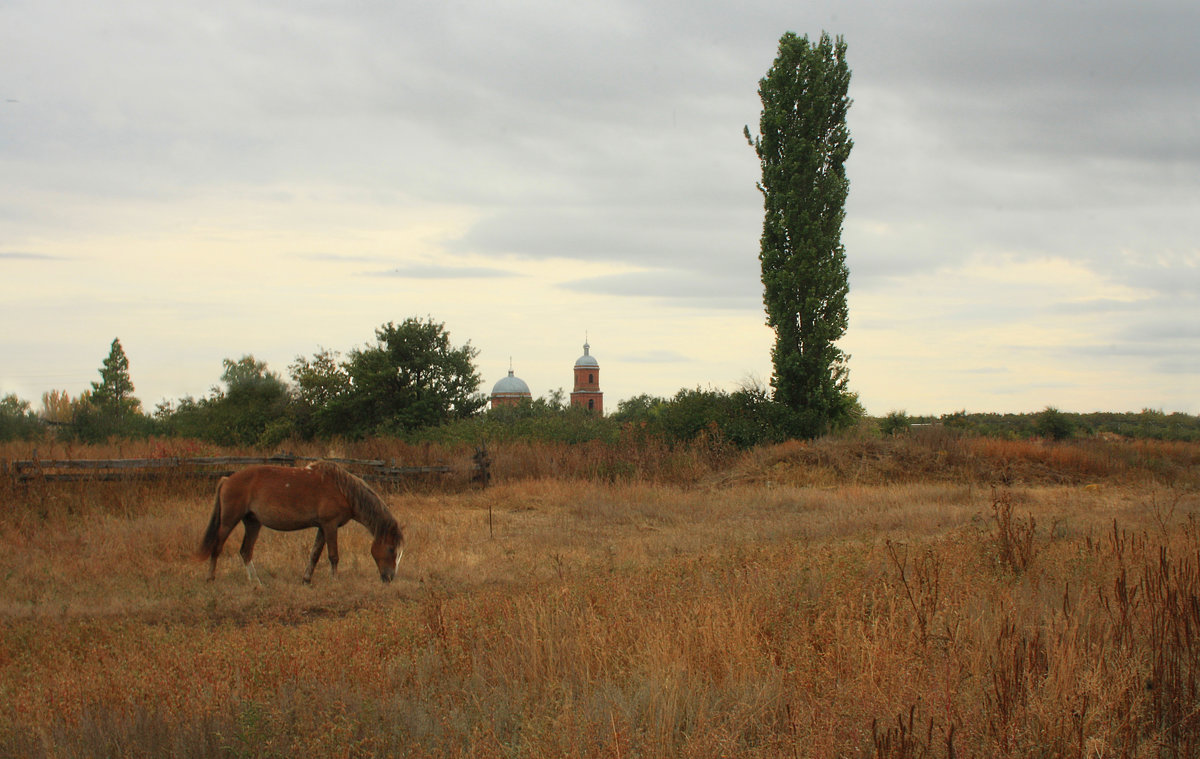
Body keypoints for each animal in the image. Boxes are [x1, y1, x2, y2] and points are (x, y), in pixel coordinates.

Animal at [196, 458, 403, 583]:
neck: (343, 490)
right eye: (391, 549)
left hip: (253, 522)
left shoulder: (322, 527)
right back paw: (210, 578)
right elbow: (333, 556)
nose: (389, 577)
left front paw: (306, 580)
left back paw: (257, 583)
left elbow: (314, 554)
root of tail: (227, 479)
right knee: (217, 547)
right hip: (229, 521)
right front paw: (335, 581)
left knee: (246, 551)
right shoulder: (330, 525)